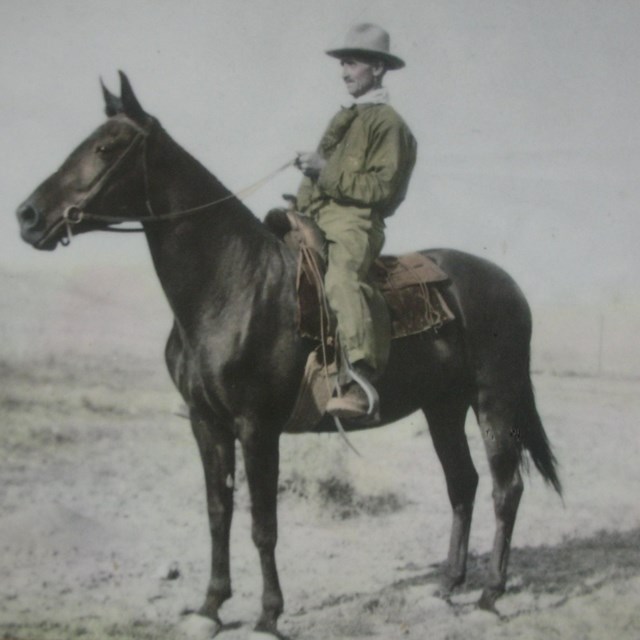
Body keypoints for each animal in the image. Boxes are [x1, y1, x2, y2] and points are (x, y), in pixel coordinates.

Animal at [13, 72, 556, 636]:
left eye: (105, 147)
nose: (27, 216)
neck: (230, 283)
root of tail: (508, 285)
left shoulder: (257, 426)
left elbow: (262, 525)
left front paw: (268, 614)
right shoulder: (206, 422)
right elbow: (218, 514)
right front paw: (210, 606)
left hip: (494, 400)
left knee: (505, 488)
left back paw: (491, 593)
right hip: (443, 407)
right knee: (462, 484)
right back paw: (449, 584)